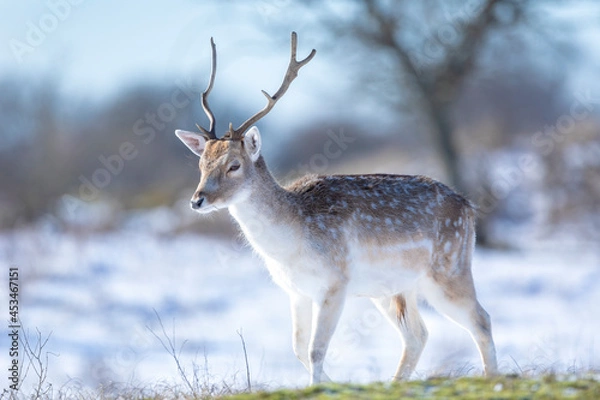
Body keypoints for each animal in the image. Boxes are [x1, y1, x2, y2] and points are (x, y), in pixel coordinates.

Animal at [173, 32, 496, 384]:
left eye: (234, 165)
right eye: (201, 163)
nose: (197, 200)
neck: (291, 243)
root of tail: (469, 207)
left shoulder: (335, 281)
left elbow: (316, 349)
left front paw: (320, 384)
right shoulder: (296, 291)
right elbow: (298, 348)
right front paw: (330, 381)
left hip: (448, 270)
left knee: (481, 319)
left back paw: (493, 376)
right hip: (392, 289)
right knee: (418, 335)